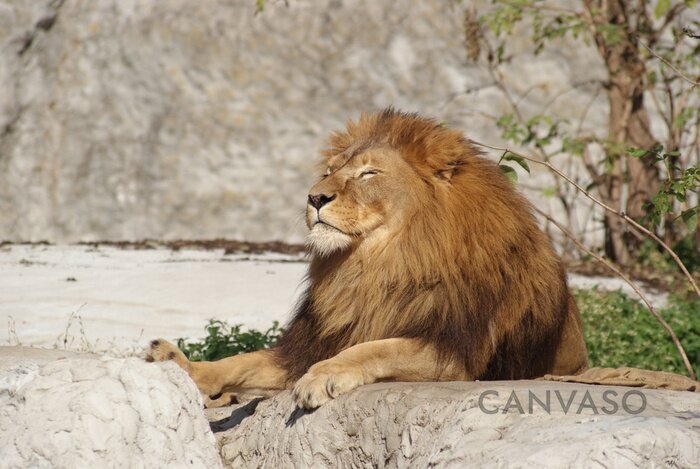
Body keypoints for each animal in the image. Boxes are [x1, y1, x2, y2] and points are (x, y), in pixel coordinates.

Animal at [146, 109, 584, 406]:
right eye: (329, 170)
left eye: (369, 173)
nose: (314, 197)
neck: (376, 265)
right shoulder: (305, 346)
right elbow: (241, 361)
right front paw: (180, 363)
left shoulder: (453, 354)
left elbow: (376, 347)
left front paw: (323, 376)